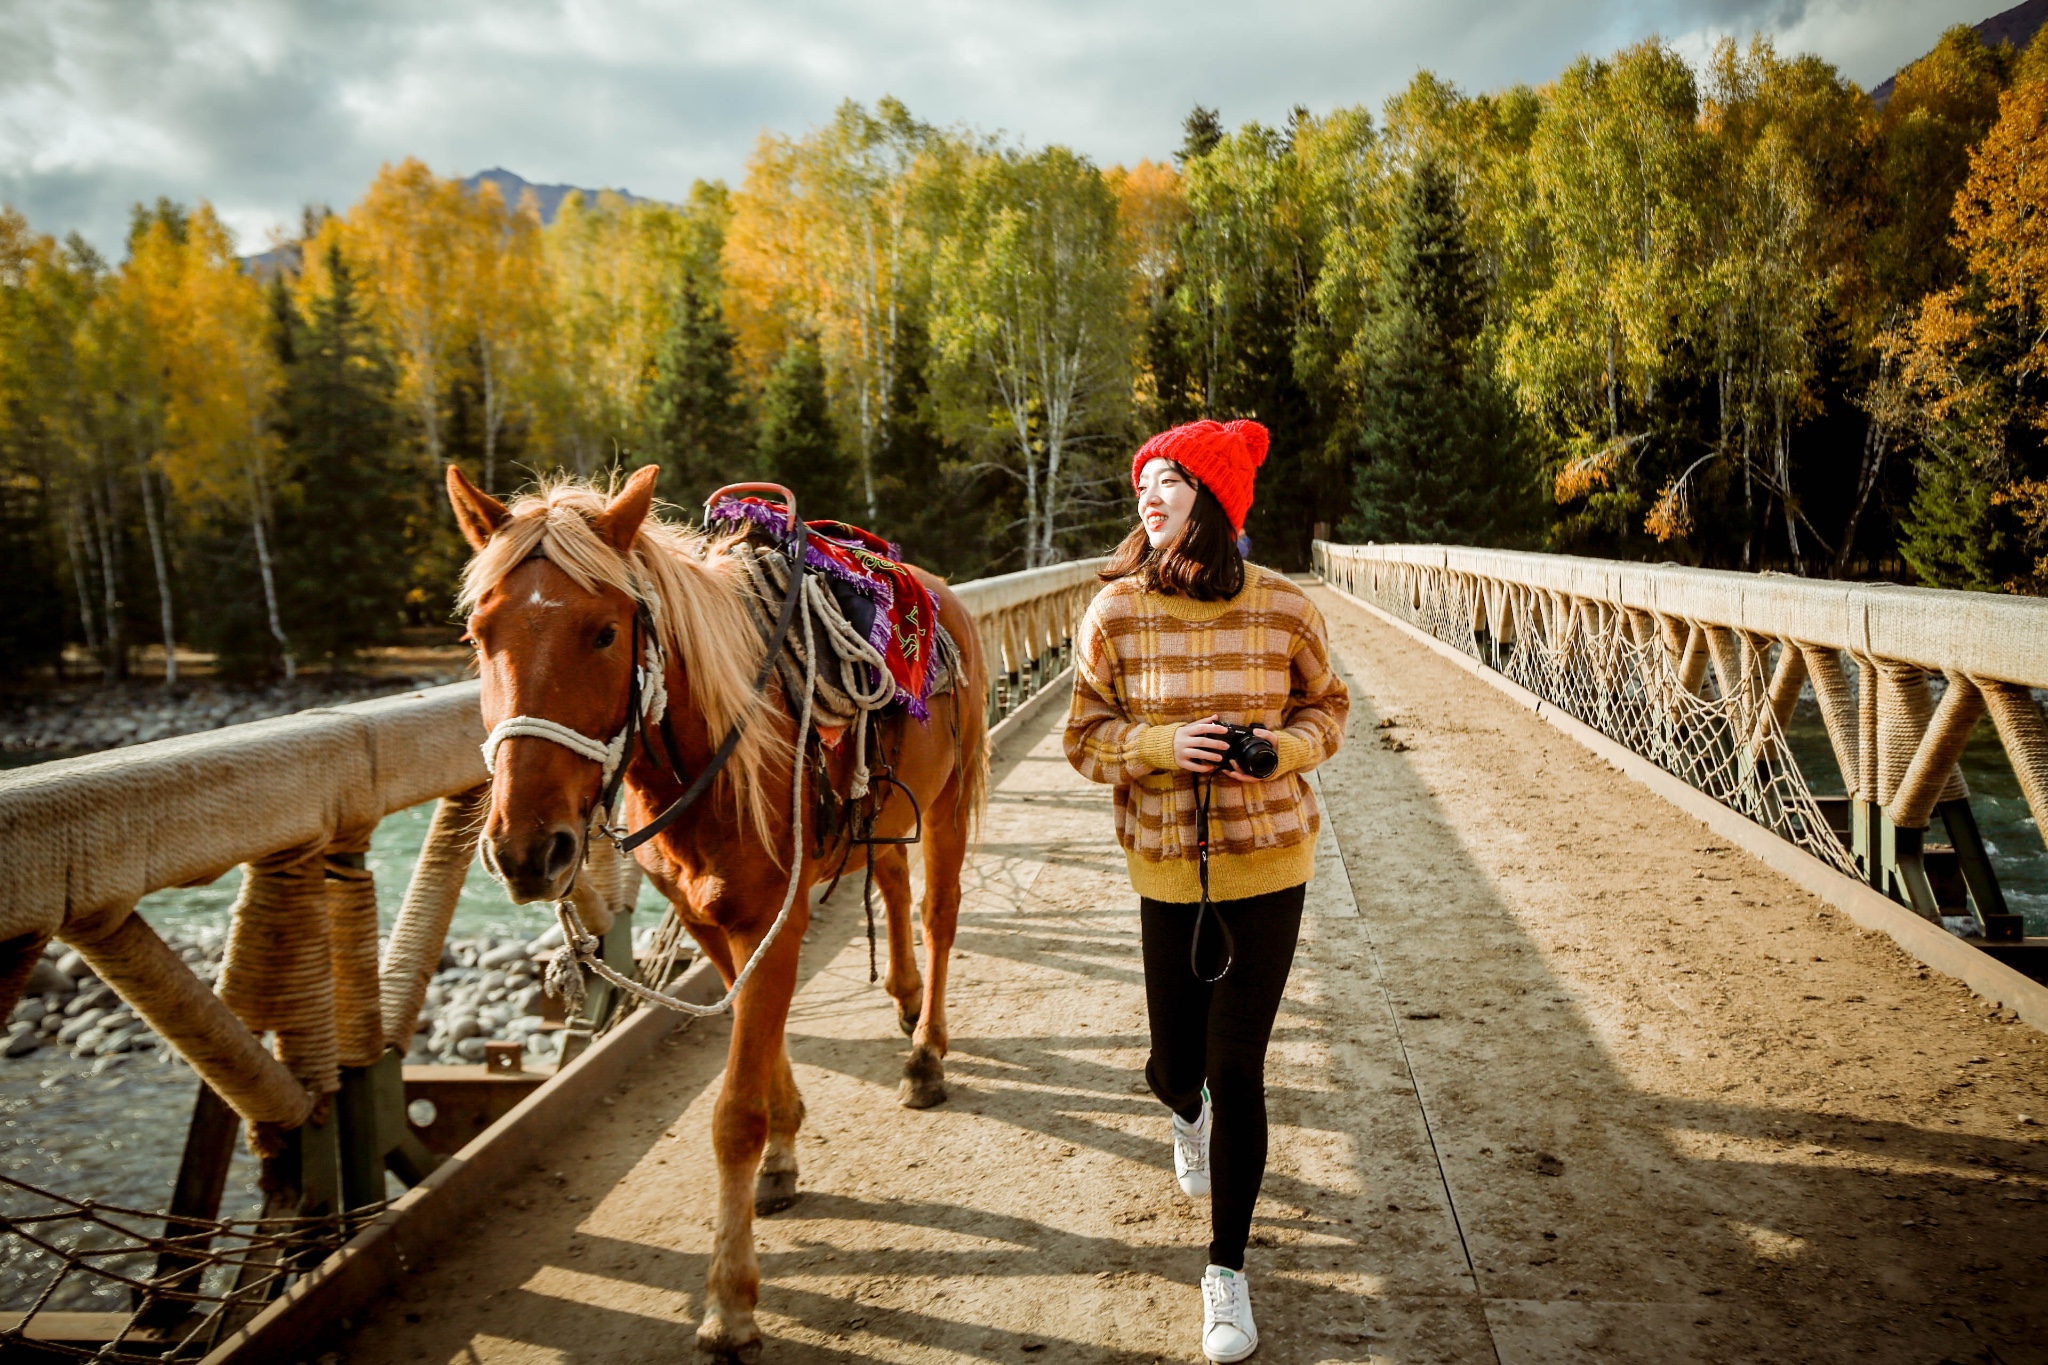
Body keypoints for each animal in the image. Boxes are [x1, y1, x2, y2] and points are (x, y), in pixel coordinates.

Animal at [450, 466, 991, 1358]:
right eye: (477, 634)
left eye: (605, 632)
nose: (529, 849)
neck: (715, 750)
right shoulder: (711, 921)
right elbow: (758, 1048)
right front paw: (784, 1146)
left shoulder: (773, 919)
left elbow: (734, 1111)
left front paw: (731, 1299)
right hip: (884, 810)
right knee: (888, 874)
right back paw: (905, 998)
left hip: (947, 802)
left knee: (938, 914)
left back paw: (926, 1053)